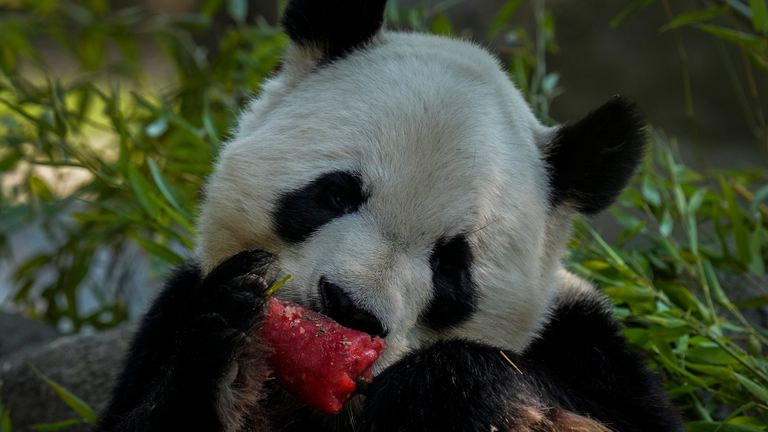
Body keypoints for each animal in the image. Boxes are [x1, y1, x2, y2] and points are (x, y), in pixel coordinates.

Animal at [94, 0, 684, 430]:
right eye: (337, 195)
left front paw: (442, 391)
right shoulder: (169, 317)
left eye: (451, 263)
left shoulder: (590, 352)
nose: (349, 308)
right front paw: (231, 336)